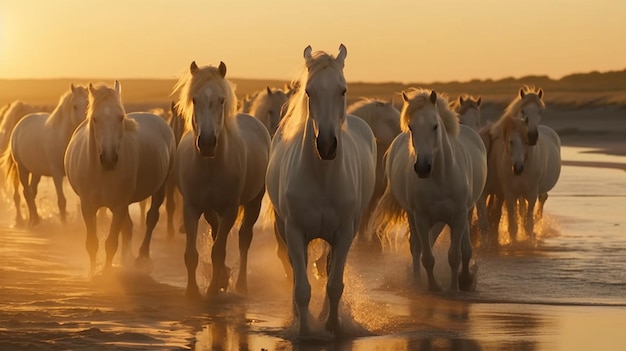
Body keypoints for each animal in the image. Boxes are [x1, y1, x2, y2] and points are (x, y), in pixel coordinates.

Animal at [0, 86, 88, 227]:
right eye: (75, 106)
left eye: (88, 102)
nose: (84, 123)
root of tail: (20, 123)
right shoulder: (57, 174)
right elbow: (62, 201)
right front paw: (64, 225)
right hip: (22, 169)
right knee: (26, 192)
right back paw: (32, 220)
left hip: (36, 172)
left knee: (31, 192)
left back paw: (35, 219)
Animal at [65, 82, 176, 276]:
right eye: (95, 119)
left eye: (121, 117)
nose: (109, 159)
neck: (101, 173)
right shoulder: (88, 206)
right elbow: (92, 243)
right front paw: (93, 272)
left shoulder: (118, 207)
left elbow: (111, 243)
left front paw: (107, 274)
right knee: (129, 227)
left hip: (160, 188)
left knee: (151, 218)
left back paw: (142, 257)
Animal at [172, 60, 270, 300]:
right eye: (194, 99)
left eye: (222, 100)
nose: (207, 143)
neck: (211, 166)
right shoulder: (191, 208)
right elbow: (192, 253)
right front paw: (192, 291)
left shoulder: (230, 210)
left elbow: (218, 251)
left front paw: (212, 290)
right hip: (210, 209)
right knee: (216, 230)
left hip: (254, 202)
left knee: (244, 239)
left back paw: (241, 285)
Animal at [264, 45, 376, 336]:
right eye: (309, 91)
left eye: (343, 90)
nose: (326, 145)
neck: (322, 178)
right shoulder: (294, 232)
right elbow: (301, 287)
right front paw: (304, 331)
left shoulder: (344, 232)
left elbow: (334, 284)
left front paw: (333, 325)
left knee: (329, 268)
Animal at [368, 89, 486, 292]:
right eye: (411, 127)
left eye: (435, 126)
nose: (422, 167)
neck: (441, 177)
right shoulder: (422, 218)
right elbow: (427, 256)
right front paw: (433, 287)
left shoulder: (459, 216)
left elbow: (455, 255)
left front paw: (455, 288)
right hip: (413, 214)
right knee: (417, 246)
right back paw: (416, 279)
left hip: (464, 212)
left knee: (461, 247)